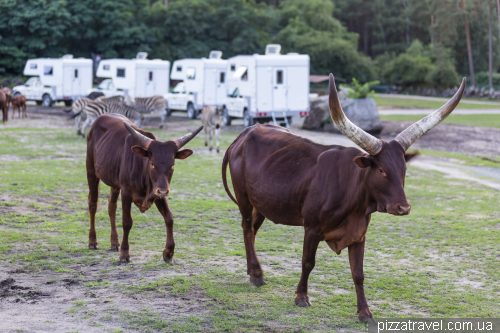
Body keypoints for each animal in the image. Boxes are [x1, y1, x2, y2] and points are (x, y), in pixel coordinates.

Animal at [86, 114, 203, 262]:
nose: (164, 190)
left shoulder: (157, 192)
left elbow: (169, 218)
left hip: (114, 181)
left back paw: (114, 242)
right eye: (152, 163)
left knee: (111, 206)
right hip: (91, 171)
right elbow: (127, 222)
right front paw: (125, 254)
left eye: (172, 164)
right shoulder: (126, 192)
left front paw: (168, 252)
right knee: (93, 204)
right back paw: (92, 241)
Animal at [223, 74, 464, 320]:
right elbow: (307, 262)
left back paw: (253, 271)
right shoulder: (311, 227)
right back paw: (256, 273)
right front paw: (301, 297)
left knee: (252, 230)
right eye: (381, 170)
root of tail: (244, 134)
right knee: (247, 228)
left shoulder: (359, 234)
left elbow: (358, 273)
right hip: (244, 197)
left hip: (262, 203)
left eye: (404, 169)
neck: (353, 196)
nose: (403, 207)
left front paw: (364, 311)